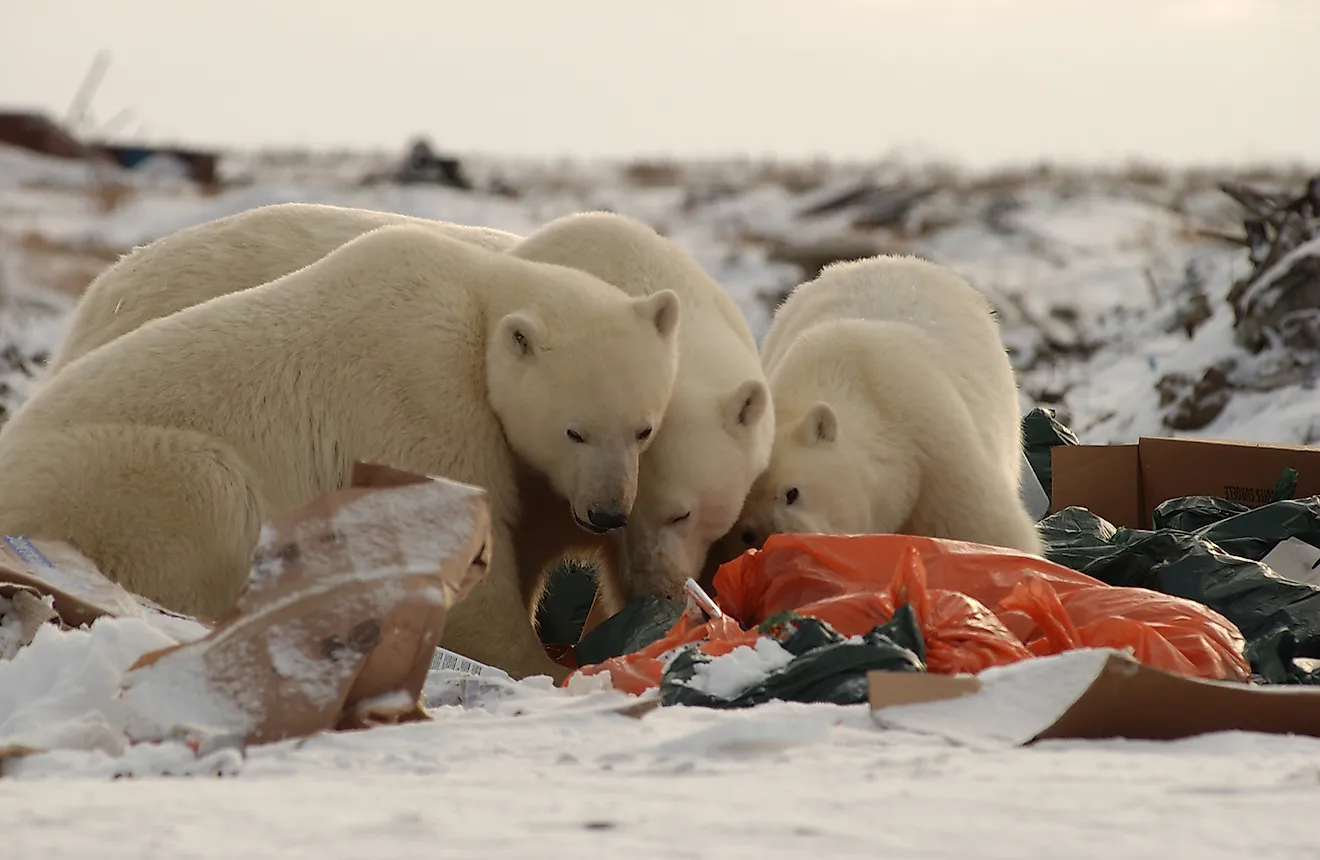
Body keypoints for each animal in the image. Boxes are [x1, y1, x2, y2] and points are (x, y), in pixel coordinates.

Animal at [0, 225, 681, 680]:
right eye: (575, 432)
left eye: (644, 430)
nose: (607, 512)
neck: (476, 297)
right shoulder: (423, 392)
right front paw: (545, 664)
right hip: (118, 474)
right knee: (210, 500)